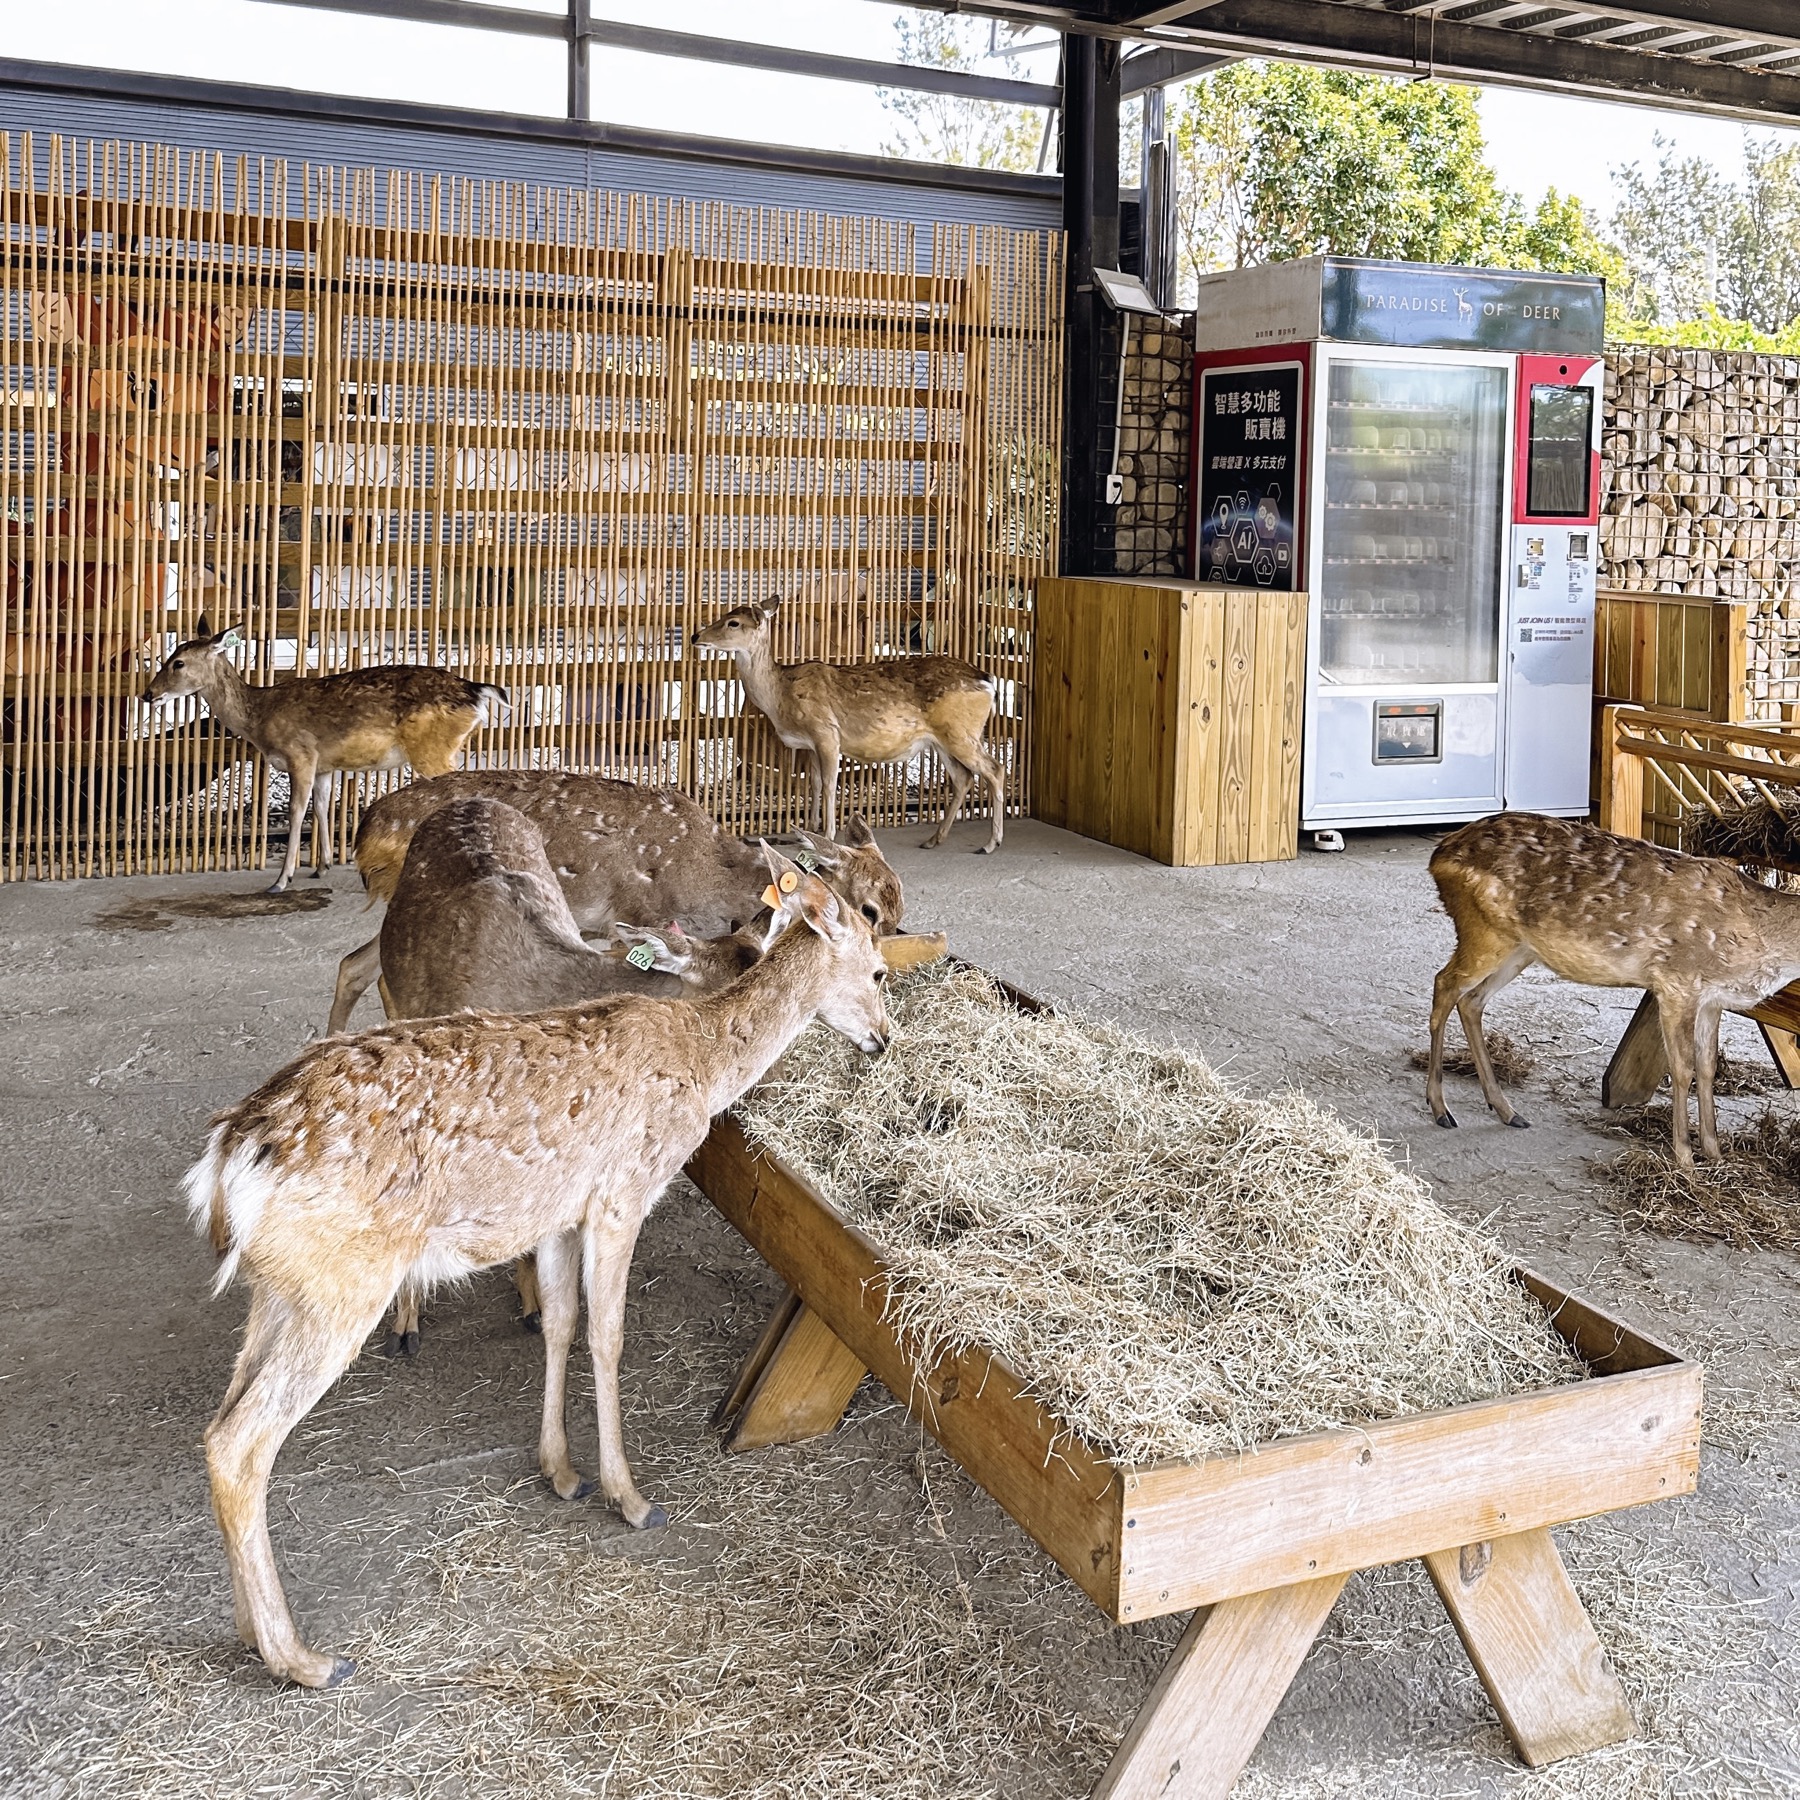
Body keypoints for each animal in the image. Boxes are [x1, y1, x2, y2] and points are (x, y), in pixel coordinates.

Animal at [142, 616, 508, 894]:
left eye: (178, 662)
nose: (148, 694)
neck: (259, 717)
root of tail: (478, 692)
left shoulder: (300, 754)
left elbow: (296, 811)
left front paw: (281, 880)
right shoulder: (324, 765)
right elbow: (320, 806)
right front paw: (322, 866)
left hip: (431, 748)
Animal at [324, 768, 904, 1034]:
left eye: (897, 908)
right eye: (870, 911)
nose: (882, 960)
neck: (707, 876)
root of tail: (367, 833)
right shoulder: (633, 913)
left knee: (353, 963)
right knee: (366, 968)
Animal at [691, 596, 1005, 854]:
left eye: (733, 622)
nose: (695, 635)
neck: (781, 697)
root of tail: (988, 680)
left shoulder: (827, 733)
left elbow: (830, 784)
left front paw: (829, 833)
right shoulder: (810, 745)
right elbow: (815, 783)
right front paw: (809, 829)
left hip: (961, 732)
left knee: (994, 769)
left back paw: (990, 843)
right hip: (943, 739)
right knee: (964, 777)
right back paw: (933, 839)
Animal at [1425, 810, 1800, 1174]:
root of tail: (1437, 857)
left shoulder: (1713, 999)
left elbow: (1707, 1068)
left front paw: (1716, 1154)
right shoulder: (1677, 981)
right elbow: (1682, 1070)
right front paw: (1685, 1159)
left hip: (1519, 949)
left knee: (1471, 1000)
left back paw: (1506, 1110)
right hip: (1484, 931)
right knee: (1444, 984)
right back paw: (1441, 1108)